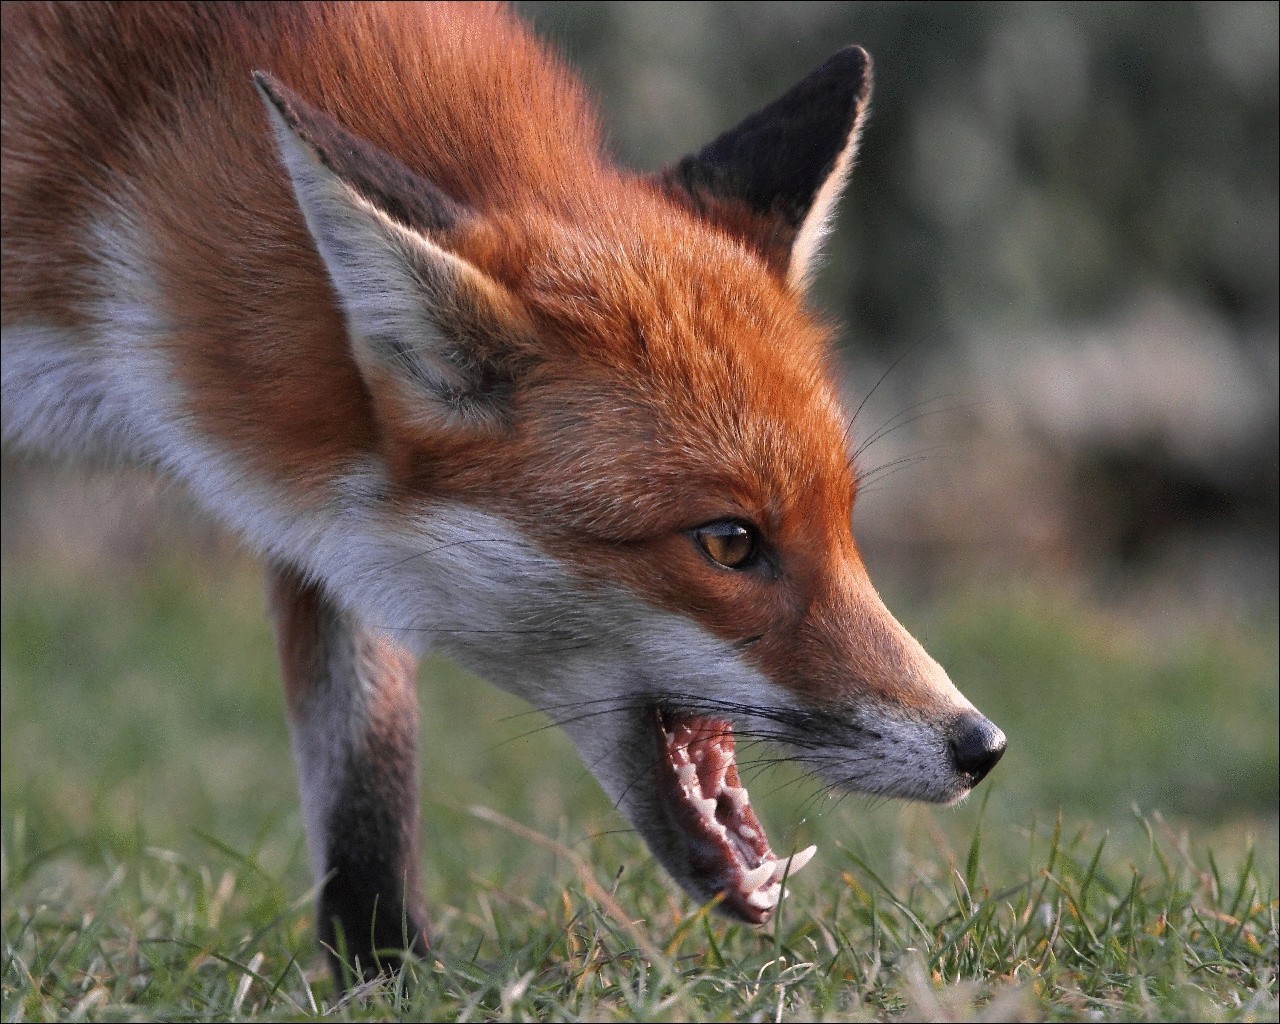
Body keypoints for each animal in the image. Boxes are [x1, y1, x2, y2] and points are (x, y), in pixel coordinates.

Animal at [0, 0, 1003, 977]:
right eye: (729, 541)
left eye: (846, 522)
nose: (981, 747)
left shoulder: (327, 518)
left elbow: (367, 764)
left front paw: (386, 973)